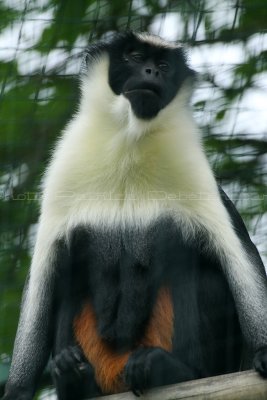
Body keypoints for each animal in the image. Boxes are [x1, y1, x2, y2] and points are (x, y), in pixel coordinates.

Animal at [3, 31, 267, 400]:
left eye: (164, 65)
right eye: (135, 56)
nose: (150, 72)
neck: (130, 139)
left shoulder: (197, 179)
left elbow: (238, 256)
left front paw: (264, 353)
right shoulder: (62, 178)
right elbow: (44, 275)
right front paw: (17, 389)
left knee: (205, 275)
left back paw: (169, 369)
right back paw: (75, 379)